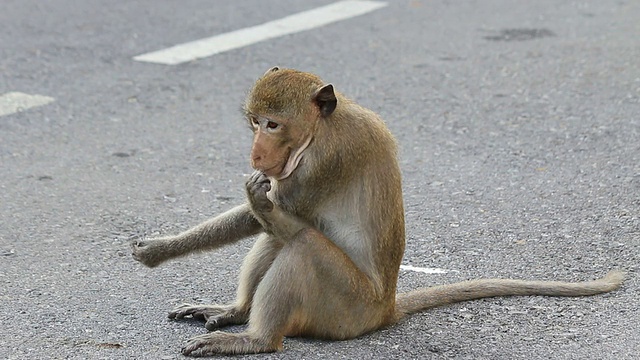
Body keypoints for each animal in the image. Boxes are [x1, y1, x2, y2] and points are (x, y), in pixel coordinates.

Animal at [130, 66, 624, 356]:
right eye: (254, 122)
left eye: (273, 124)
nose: (255, 153)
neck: (324, 126)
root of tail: (386, 308)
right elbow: (270, 216)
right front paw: (162, 248)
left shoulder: (328, 159)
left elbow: (274, 209)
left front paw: (165, 246)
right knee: (279, 236)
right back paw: (237, 312)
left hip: (349, 307)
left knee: (302, 244)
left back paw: (256, 340)